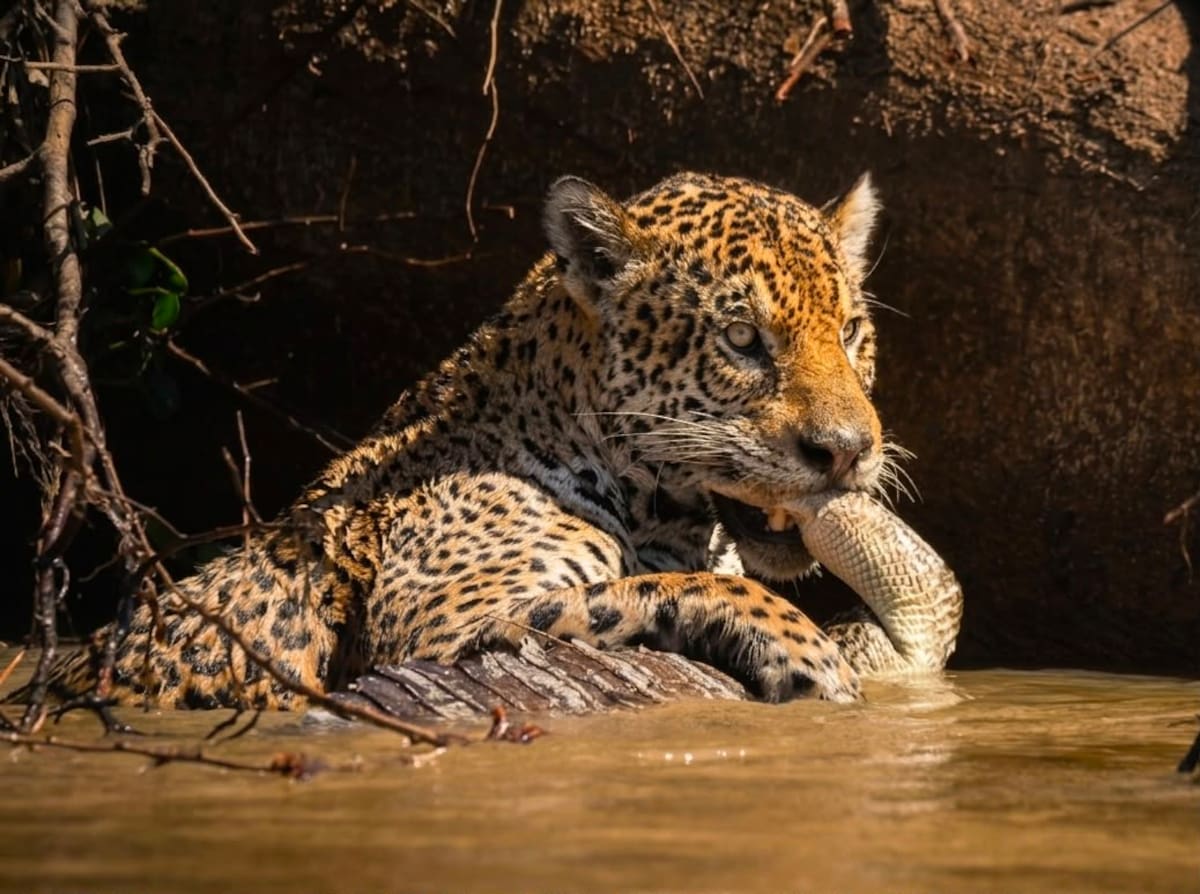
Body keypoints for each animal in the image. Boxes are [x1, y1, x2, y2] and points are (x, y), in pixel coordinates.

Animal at [23, 170, 891, 710]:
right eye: (742, 339)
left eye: (851, 331)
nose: (847, 450)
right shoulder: (441, 624)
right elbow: (662, 586)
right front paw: (806, 649)